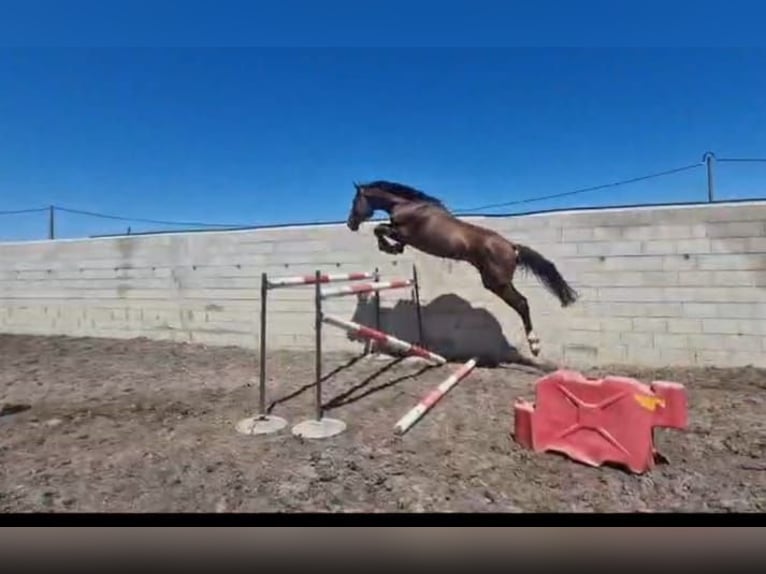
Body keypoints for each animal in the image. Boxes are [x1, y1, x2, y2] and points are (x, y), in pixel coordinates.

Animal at [344, 182, 580, 358]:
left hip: (497, 283)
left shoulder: (403, 232)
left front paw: (388, 247)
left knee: (522, 303)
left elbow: (379, 229)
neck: (409, 206)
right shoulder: (403, 236)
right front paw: (394, 249)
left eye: (355, 201)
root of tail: (512, 247)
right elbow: (387, 234)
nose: (350, 224)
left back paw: (535, 345)